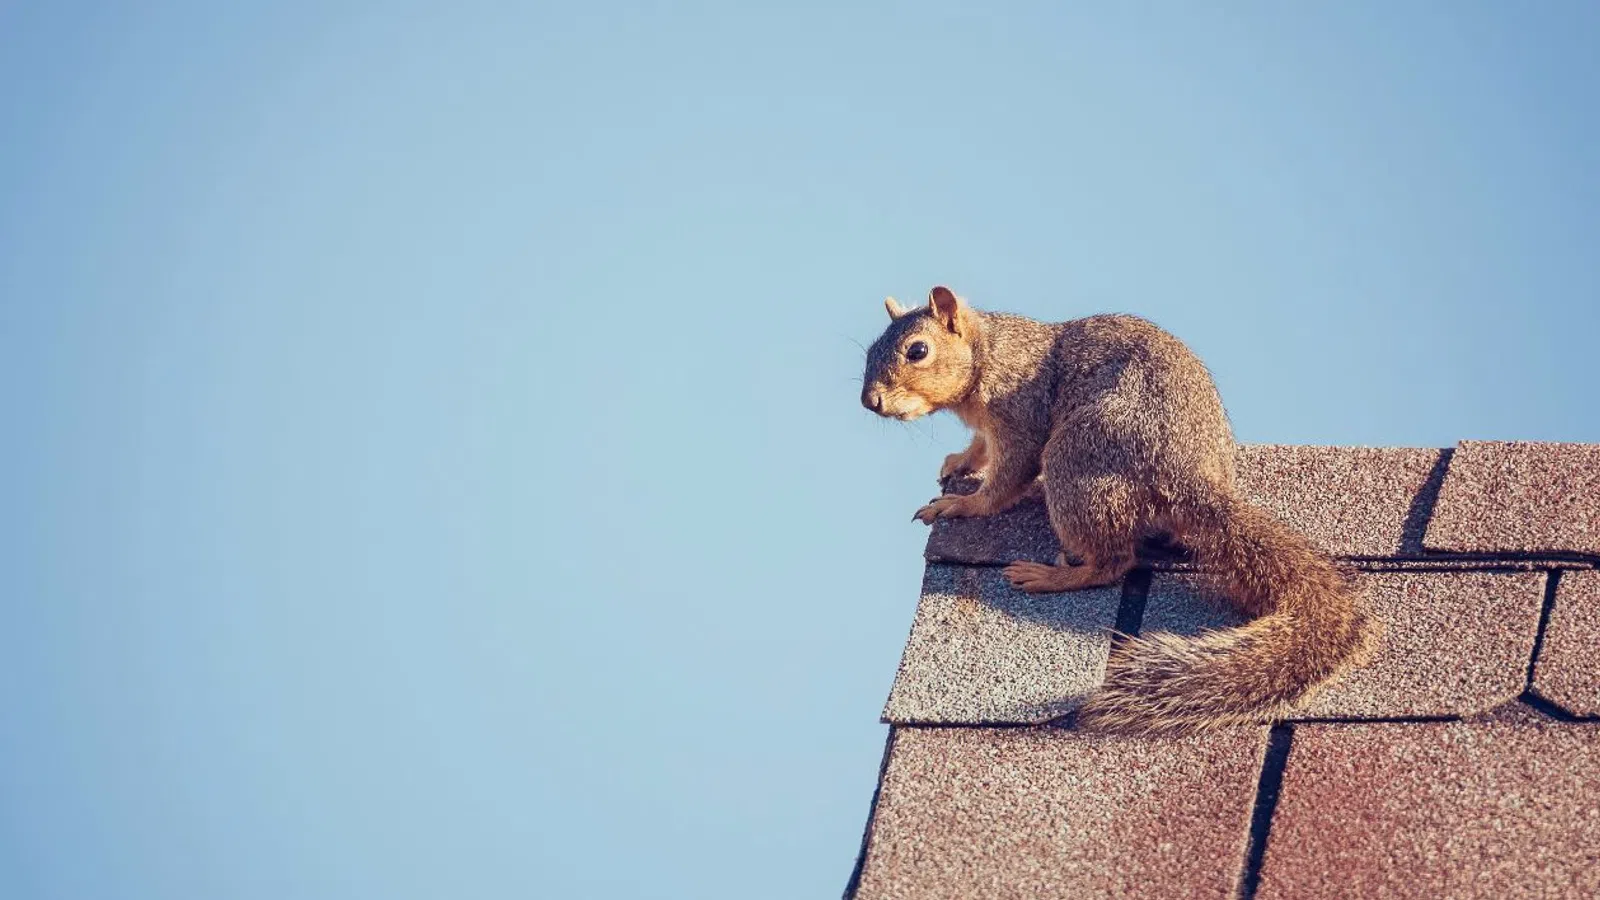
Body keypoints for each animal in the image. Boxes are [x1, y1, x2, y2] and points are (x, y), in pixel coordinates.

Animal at [860, 286, 1377, 734]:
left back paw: (1052, 576)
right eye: (869, 350)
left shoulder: (1021, 412)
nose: (871, 401)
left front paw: (963, 504)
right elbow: (980, 449)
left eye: (917, 351)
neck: (989, 352)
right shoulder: (989, 427)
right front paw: (958, 462)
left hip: (1075, 460)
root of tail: (1185, 473)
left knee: (1114, 561)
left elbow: (1008, 477)